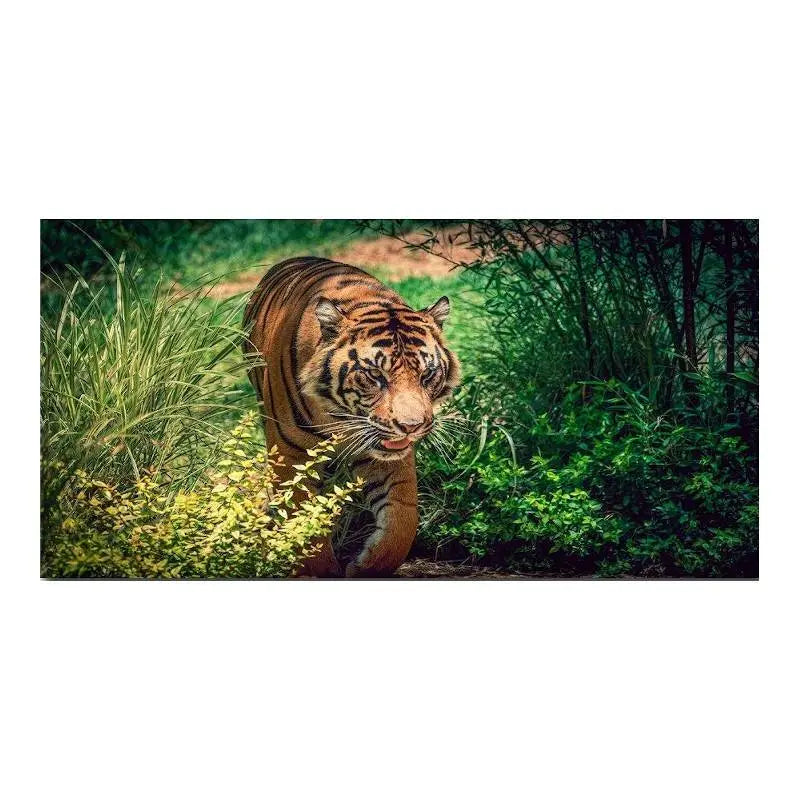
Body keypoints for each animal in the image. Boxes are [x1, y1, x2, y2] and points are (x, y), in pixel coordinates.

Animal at [243, 256, 461, 578]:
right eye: (375, 375)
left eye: (427, 375)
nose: (411, 427)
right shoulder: (292, 453)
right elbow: (302, 516)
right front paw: (318, 568)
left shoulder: (388, 455)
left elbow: (402, 519)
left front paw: (367, 566)